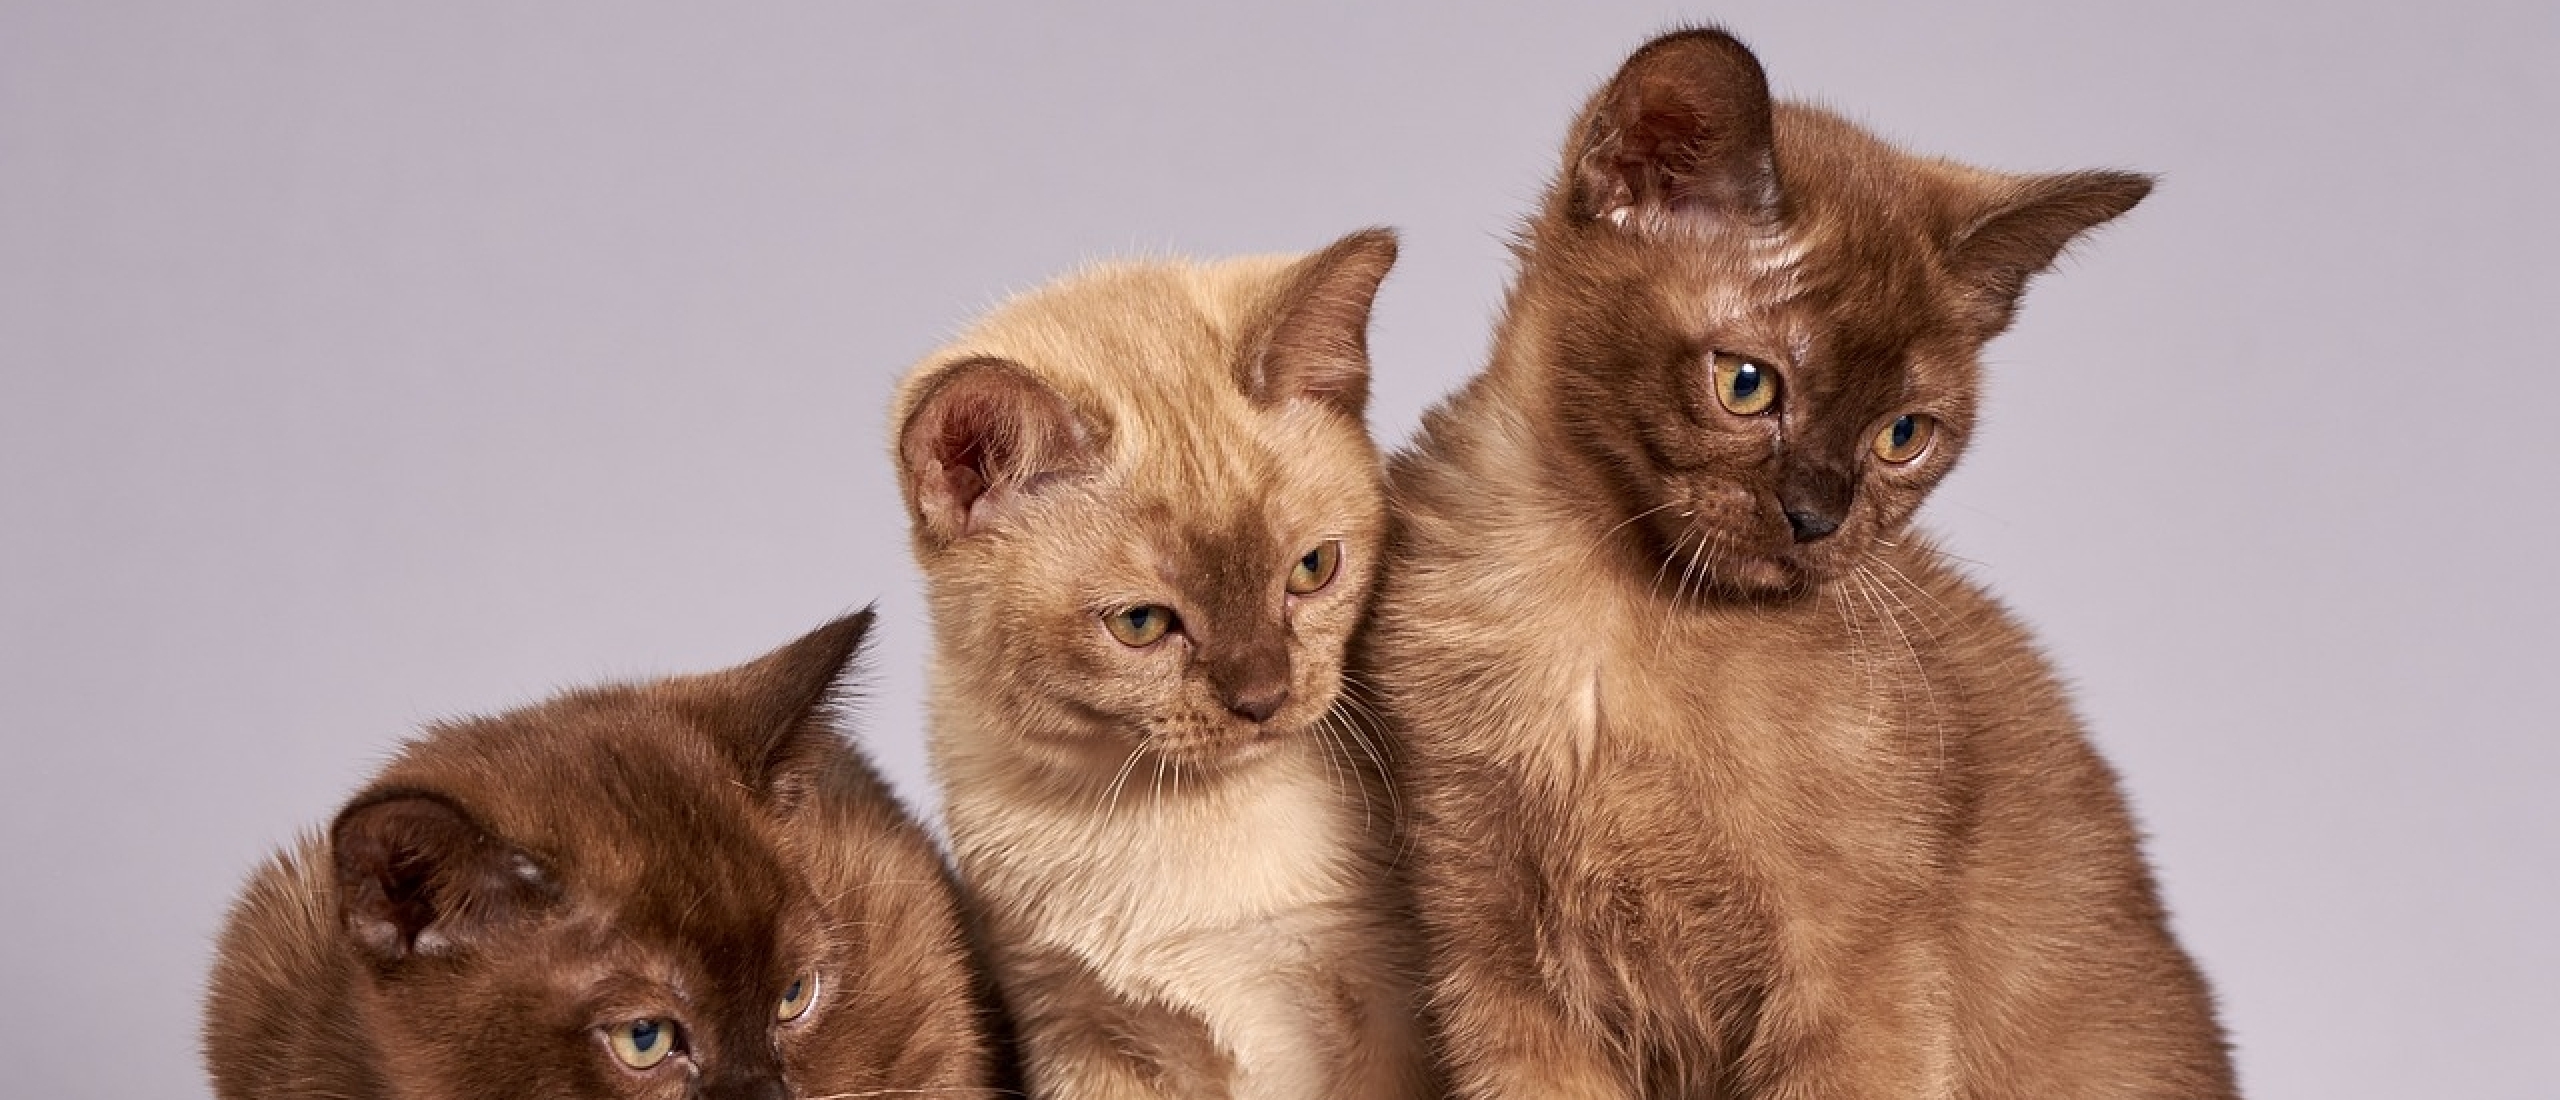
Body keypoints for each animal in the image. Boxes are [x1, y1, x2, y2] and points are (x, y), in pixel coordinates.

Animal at [1372, 27, 2232, 1100]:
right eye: (1747, 384)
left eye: (1903, 435)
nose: (1818, 517)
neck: (1614, 626)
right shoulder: (1501, 973)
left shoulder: (1853, 987)